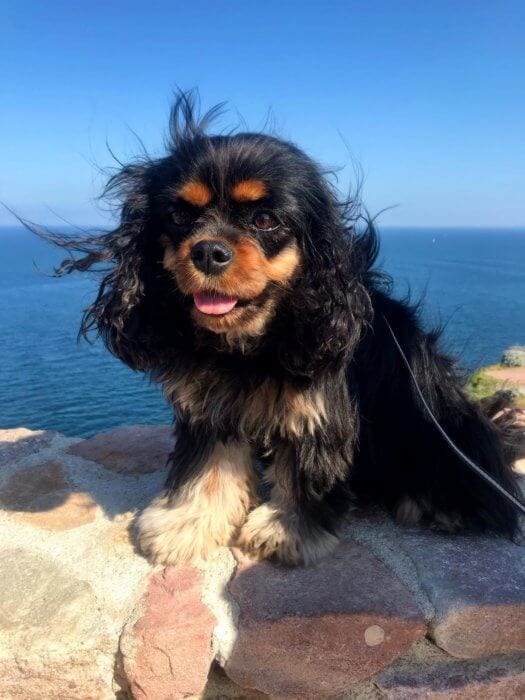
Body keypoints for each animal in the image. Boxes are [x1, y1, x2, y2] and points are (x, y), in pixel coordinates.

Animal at [43, 93, 516, 568]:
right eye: (178, 216)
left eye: (266, 220)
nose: (208, 251)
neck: (251, 342)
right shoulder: (212, 406)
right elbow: (207, 467)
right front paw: (188, 524)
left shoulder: (318, 410)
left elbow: (307, 471)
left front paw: (287, 532)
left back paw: (440, 505)